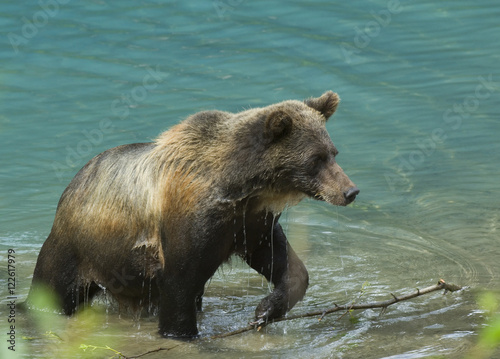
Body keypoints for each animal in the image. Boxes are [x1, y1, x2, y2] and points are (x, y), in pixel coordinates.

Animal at [27, 91, 360, 338]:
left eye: (333, 153)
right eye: (316, 159)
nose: (350, 191)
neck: (241, 187)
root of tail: (72, 184)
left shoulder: (250, 223)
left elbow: (282, 263)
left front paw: (264, 310)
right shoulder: (190, 219)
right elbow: (179, 283)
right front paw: (183, 334)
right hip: (79, 248)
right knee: (52, 289)